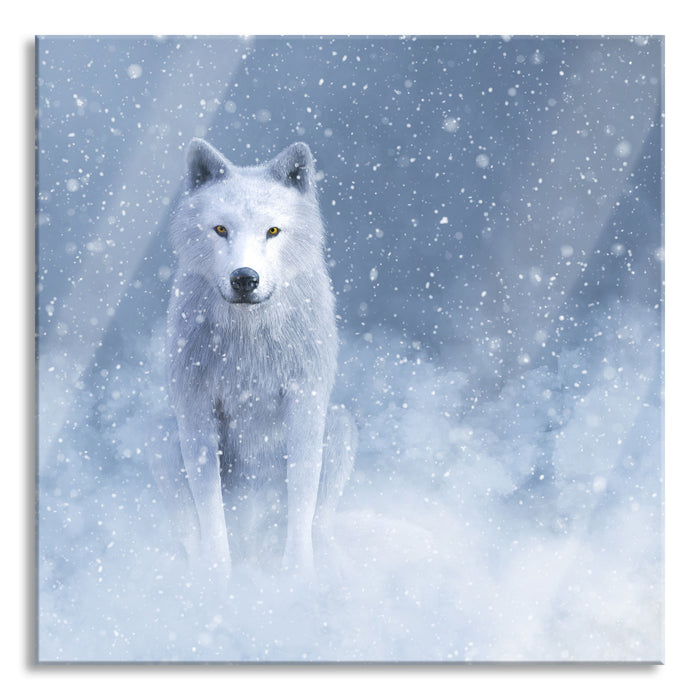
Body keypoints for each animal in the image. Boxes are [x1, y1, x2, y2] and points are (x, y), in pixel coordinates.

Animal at [152, 138, 356, 579]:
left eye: (272, 231)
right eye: (221, 229)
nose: (244, 278)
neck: (248, 341)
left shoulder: (305, 402)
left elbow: (302, 494)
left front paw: (297, 576)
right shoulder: (195, 408)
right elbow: (209, 505)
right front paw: (218, 578)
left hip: (340, 426)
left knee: (320, 520)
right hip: (161, 437)